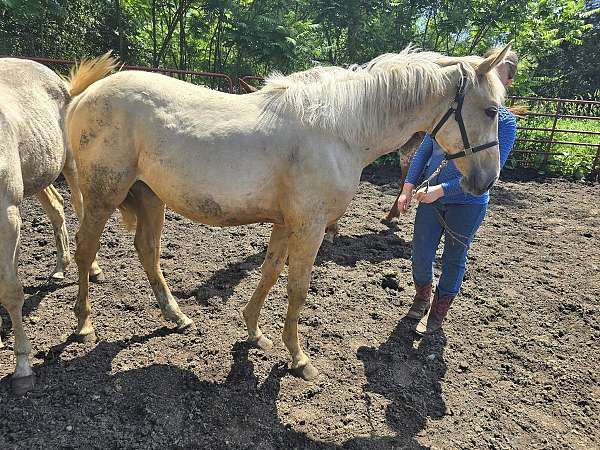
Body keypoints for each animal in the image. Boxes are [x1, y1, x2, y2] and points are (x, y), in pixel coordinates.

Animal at [0, 55, 115, 394]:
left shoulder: (7, 215)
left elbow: (11, 289)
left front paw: (22, 368)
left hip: (71, 166)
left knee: (77, 208)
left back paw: (93, 268)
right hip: (39, 174)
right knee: (56, 209)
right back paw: (61, 265)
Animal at [67, 43, 510, 380]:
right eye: (491, 110)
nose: (486, 181)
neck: (340, 131)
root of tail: (84, 95)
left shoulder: (285, 224)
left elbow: (268, 273)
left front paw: (254, 332)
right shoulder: (310, 228)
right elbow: (297, 288)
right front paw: (299, 359)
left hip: (149, 197)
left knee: (147, 251)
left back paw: (176, 316)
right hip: (104, 195)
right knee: (85, 249)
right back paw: (84, 323)